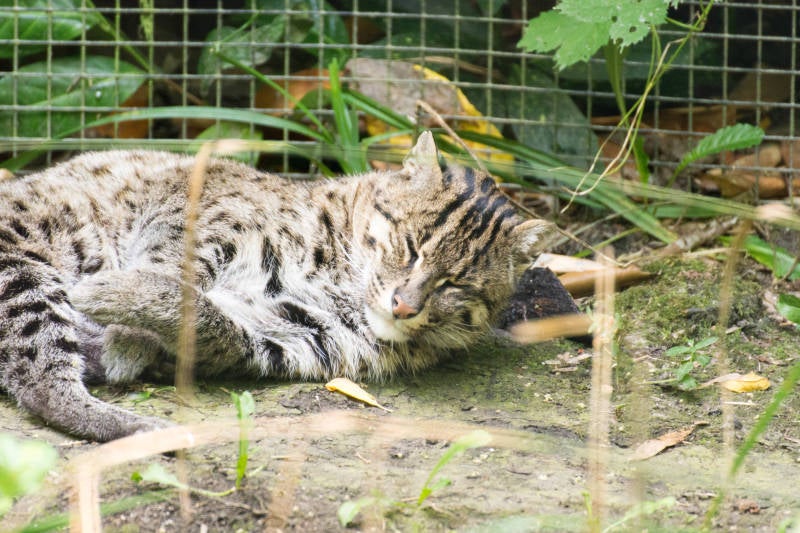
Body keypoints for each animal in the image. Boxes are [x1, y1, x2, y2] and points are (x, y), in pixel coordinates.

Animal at [0, 132, 552, 441]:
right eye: (411, 245)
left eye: (455, 283)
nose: (403, 307)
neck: (342, 276)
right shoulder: (190, 205)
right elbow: (174, 266)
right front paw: (125, 336)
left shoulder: (296, 335)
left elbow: (210, 321)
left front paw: (126, 328)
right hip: (20, 263)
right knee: (39, 377)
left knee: (39, 384)